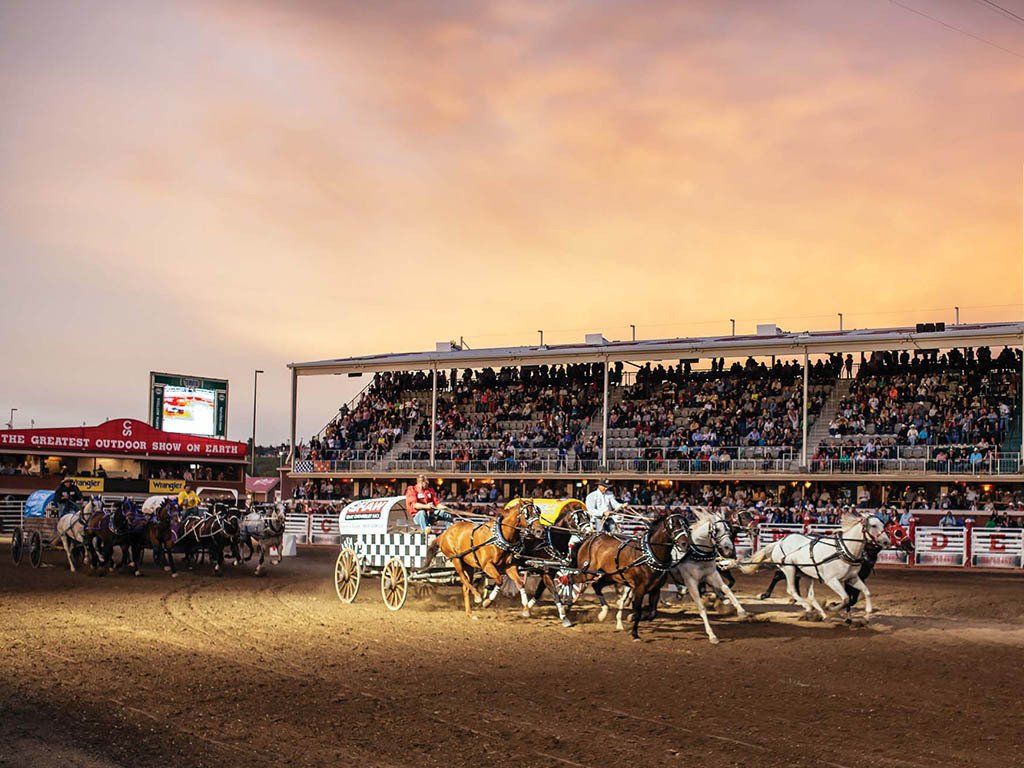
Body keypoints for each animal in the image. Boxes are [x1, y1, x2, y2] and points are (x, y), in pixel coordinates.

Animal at [667, 514, 749, 647]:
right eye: (717, 530)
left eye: (729, 530)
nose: (729, 548)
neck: (696, 553)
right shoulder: (691, 582)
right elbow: (701, 608)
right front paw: (712, 635)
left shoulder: (712, 574)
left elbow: (726, 588)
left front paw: (741, 611)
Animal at [737, 514, 888, 622]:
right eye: (873, 525)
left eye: (883, 524)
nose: (886, 541)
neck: (842, 550)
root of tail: (780, 541)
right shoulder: (832, 580)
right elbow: (845, 599)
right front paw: (832, 607)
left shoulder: (852, 578)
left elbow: (866, 592)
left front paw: (866, 616)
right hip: (789, 569)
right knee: (791, 589)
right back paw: (808, 607)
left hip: (806, 574)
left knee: (810, 595)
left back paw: (821, 613)